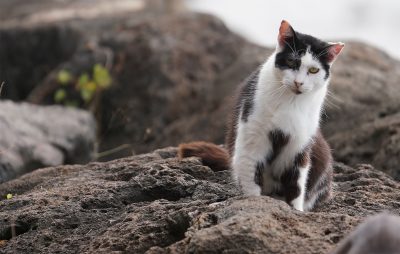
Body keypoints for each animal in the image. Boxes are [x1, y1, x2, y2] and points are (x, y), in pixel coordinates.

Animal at [179, 19, 344, 211]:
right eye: (291, 61)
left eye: (313, 70)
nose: (299, 82)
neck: (290, 102)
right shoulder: (252, 137)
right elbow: (251, 180)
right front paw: (257, 204)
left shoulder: (299, 146)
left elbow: (296, 185)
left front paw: (295, 211)